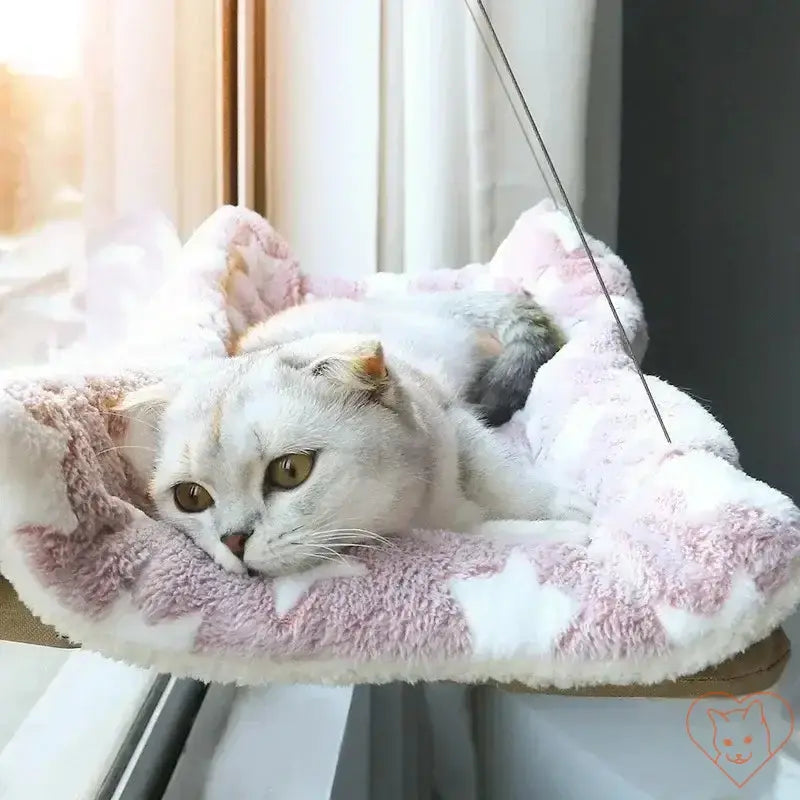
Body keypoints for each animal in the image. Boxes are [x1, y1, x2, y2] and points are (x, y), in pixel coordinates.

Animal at [120, 290, 592, 580]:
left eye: (290, 470)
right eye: (191, 497)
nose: (233, 541)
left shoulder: (450, 417)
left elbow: (502, 478)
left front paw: (564, 510)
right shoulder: (445, 528)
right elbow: (488, 531)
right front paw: (558, 532)